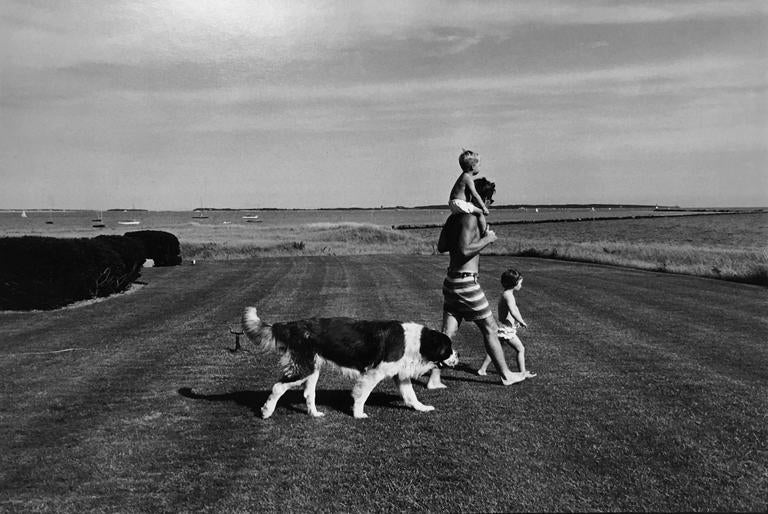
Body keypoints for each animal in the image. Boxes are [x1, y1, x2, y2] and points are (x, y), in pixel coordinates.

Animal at [242, 304, 456, 416]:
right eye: (449, 349)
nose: (458, 356)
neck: (418, 341)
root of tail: (292, 325)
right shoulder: (374, 372)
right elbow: (362, 394)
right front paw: (358, 414)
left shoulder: (399, 374)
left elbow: (411, 395)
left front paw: (422, 408)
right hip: (303, 368)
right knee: (278, 387)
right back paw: (266, 411)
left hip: (313, 368)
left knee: (308, 393)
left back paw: (315, 414)